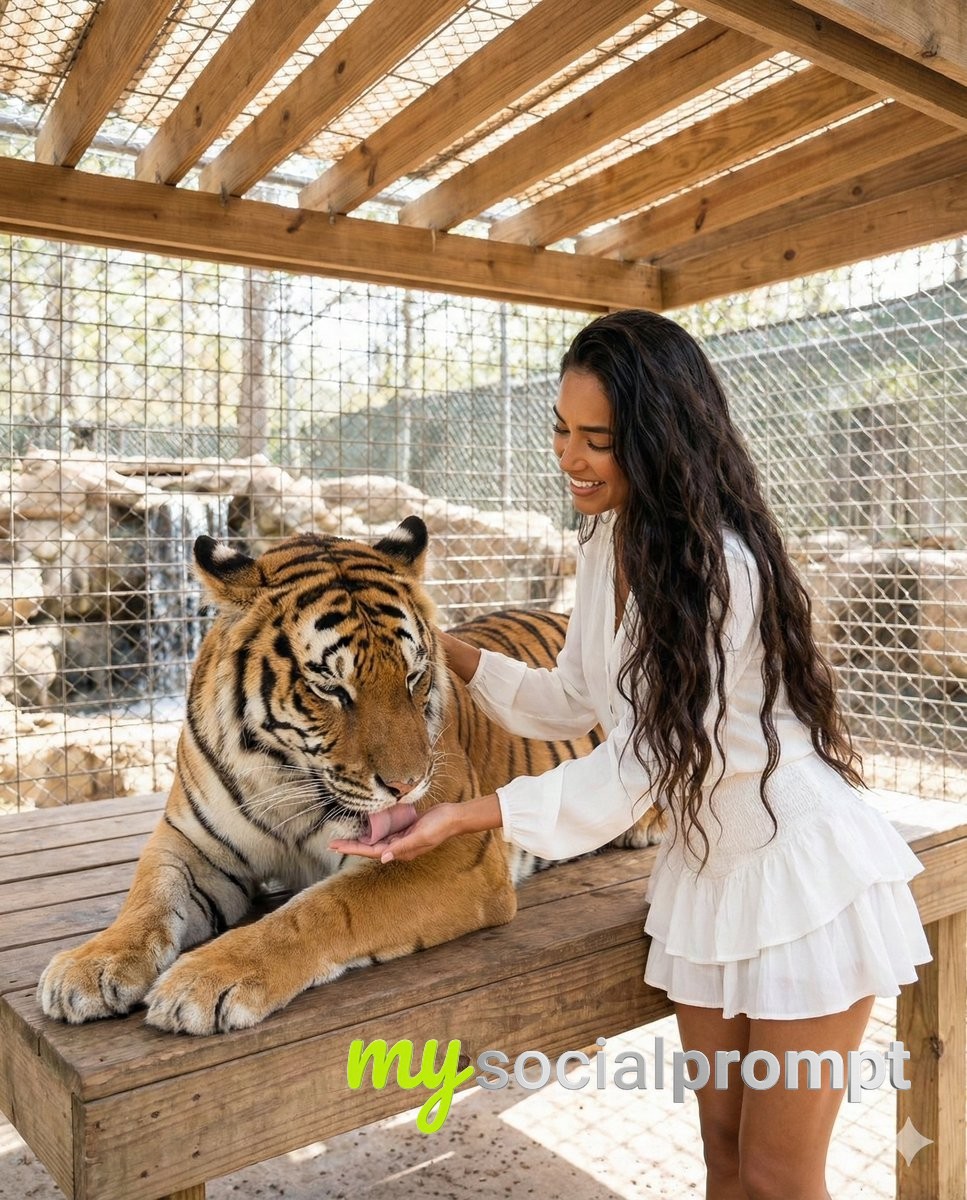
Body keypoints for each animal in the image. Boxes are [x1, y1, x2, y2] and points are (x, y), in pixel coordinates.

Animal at [39, 516, 660, 1035]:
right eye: (331, 688)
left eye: (413, 676)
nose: (408, 784)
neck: (284, 777)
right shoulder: (191, 841)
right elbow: (148, 896)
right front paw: (89, 966)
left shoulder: (451, 856)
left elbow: (322, 910)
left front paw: (204, 979)